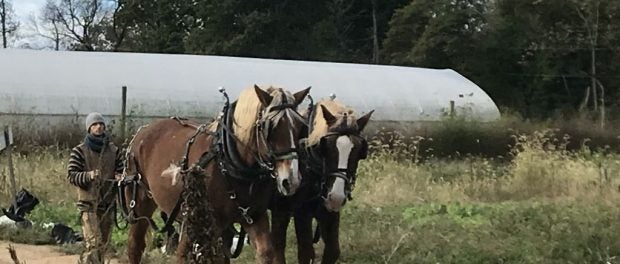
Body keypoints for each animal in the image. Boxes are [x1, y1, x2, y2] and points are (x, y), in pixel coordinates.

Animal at [122, 85, 310, 264]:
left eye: (299, 127)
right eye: (271, 127)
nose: (291, 180)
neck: (229, 162)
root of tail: (143, 131)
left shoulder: (254, 217)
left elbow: (265, 253)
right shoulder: (205, 223)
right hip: (142, 204)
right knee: (135, 246)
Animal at [270, 97, 372, 264]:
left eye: (358, 151)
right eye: (326, 148)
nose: (336, 196)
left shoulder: (329, 212)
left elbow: (333, 251)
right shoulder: (302, 212)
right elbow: (306, 253)